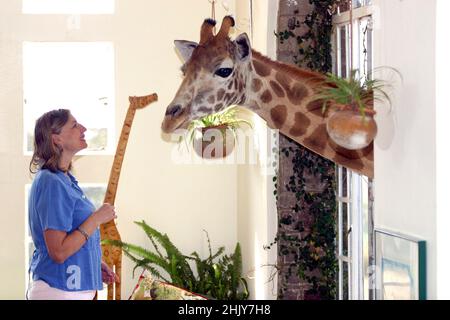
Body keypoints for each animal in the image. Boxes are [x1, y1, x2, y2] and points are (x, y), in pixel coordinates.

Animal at [100, 92, 158, 300]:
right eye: (141, 99)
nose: (155, 95)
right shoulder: (109, 260)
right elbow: (111, 293)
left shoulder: (118, 260)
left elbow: (117, 290)